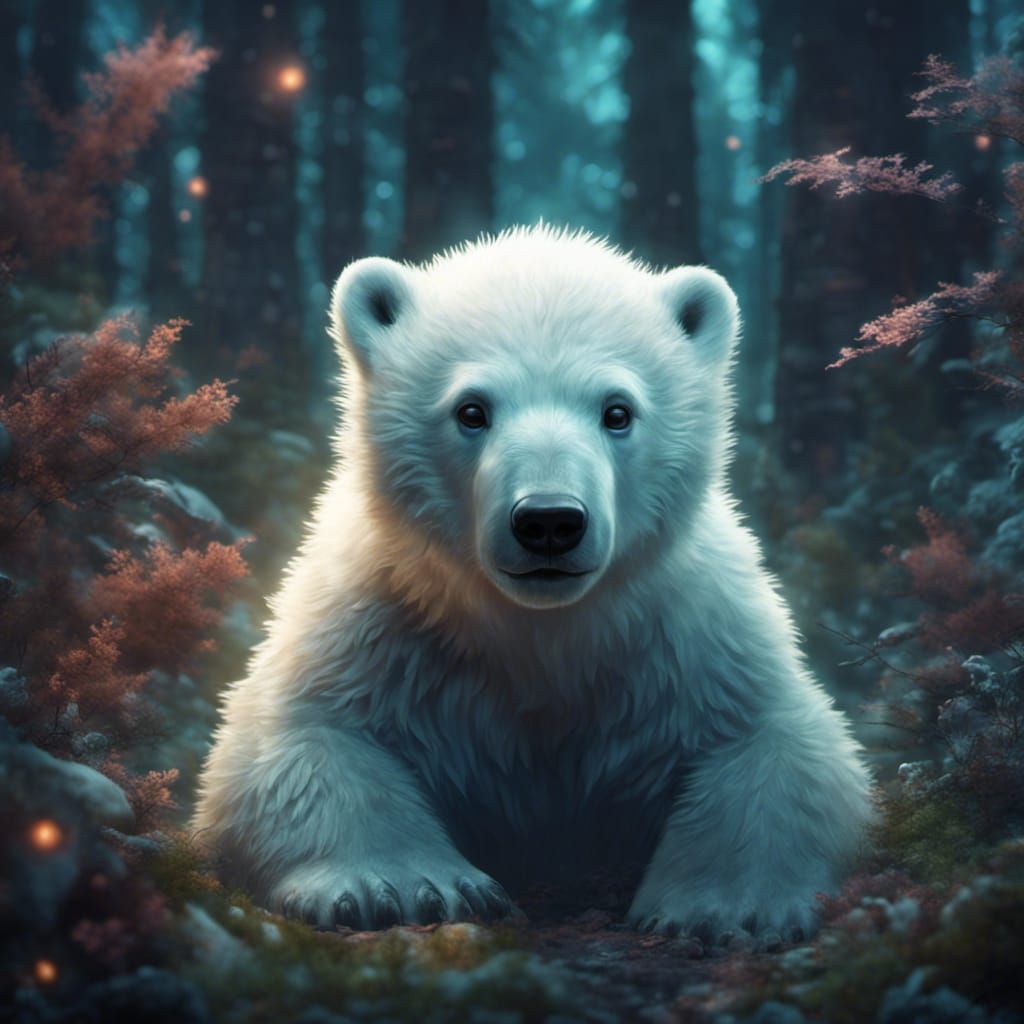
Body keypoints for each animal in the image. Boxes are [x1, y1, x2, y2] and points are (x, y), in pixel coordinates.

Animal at [194, 225, 873, 941]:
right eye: (471, 410)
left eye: (617, 411)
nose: (549, 521)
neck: (541, 633)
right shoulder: (378, 627)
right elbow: (293, 745)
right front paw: (406, 887)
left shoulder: (692, 638)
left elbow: (785, 748)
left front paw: (727, 906)